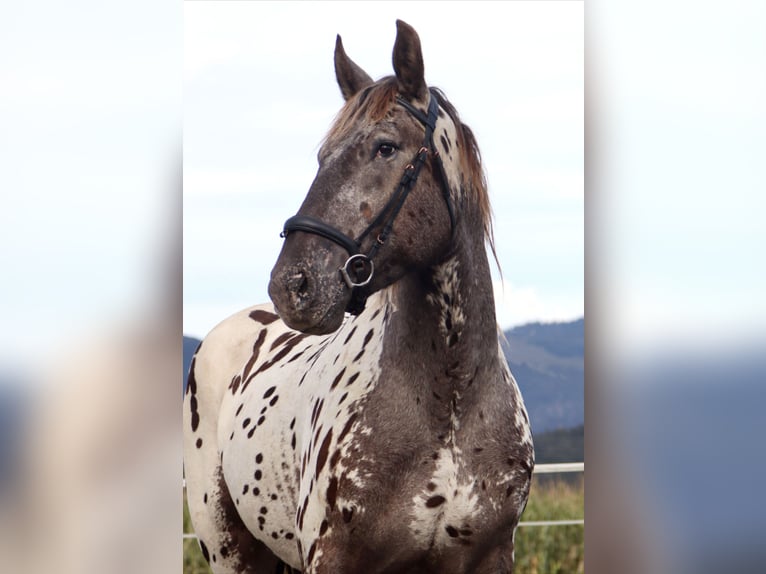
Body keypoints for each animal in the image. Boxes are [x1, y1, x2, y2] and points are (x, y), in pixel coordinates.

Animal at [184, 19, 536, 574]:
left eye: (385, 147)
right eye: (323, 157)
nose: (292, 284)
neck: (449, 402)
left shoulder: (491, 558)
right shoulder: (332, 558)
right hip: (229, 551)